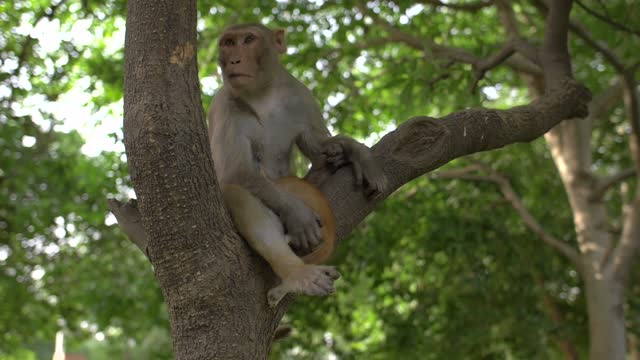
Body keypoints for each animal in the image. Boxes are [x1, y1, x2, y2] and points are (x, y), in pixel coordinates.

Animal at [211, 23, 384, 306]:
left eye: (248, 39)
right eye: (228, 43)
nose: (234, 60)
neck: (262, 95)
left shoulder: (299, 94)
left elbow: (317, 145)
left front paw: (355, 151)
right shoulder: (224, 104)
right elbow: (236, 172)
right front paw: (298, 215)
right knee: (237, 192)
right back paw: (296, 274)